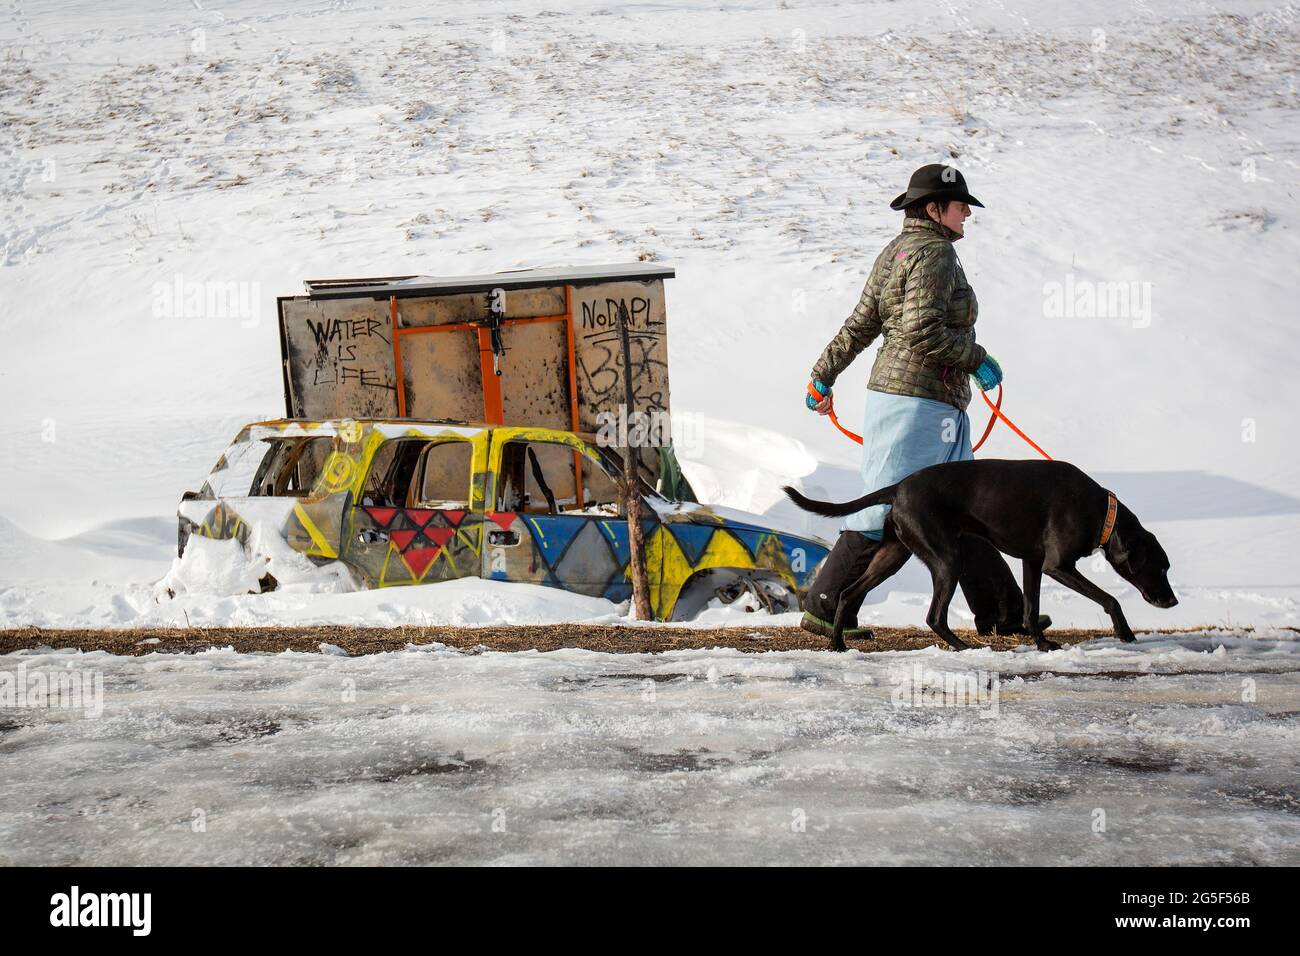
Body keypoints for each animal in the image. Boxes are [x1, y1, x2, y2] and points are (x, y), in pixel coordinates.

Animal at [780, 460, 1180, 655]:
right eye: (1160, 566)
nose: (1173, 601)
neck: (1101, 512)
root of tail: (898, 487)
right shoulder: (1059, 566)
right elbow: (1110, 598)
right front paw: (1126, 634)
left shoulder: (1033, 563)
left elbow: (1031, 608)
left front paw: (1042, 644)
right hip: (947, 558)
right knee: (934, 616)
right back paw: (962, 647)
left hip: (893, 555)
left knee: (849, 593)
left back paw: (838, 644)